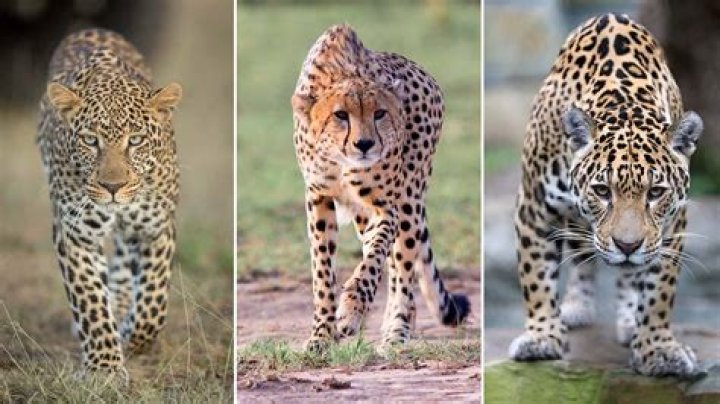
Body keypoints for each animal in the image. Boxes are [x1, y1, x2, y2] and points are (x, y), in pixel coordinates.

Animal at [38, 28, 182, 381]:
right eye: (91, 141)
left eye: (136, 140)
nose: (113, 187)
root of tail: (90, 28)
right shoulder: (75, 234)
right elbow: (89, 299)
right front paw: (104, 368)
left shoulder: (156, 229)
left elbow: (153, 304)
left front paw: (132, 336)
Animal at [291, 24, 470, 353]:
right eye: (340, 115)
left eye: (379, 113)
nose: (364, 144)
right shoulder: (319, 198)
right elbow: (322, 270)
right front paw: (322, 334)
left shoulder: (385, 206)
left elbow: (372, 263)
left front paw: (350, 310)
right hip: (366, 215)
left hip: (409, 201)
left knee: (402, 266)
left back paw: (397, 330)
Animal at [509, 13, 704, 377]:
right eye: (602, 190)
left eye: (655, 192)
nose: (627, 246)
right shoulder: (533, 207)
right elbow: (536, 275)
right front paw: (541, 338)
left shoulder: (672, 224)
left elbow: (659, 289)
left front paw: (657, 347)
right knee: (582, 254)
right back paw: (577, 306)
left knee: (630, 273)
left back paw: (629, 319)